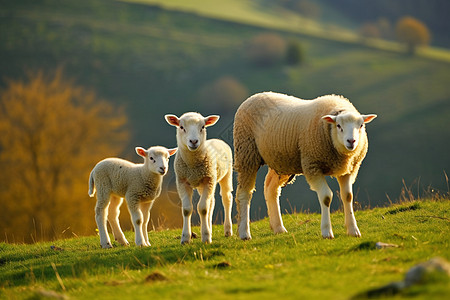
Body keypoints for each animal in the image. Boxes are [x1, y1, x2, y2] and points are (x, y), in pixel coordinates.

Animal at [166, 112, 236, 244]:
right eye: (181, 127)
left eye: (203, 127)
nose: (193, 141)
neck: (193, 164)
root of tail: (217, 140)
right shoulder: (182, 182)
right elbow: (187, 209)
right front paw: (185, 238)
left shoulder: (208, 180)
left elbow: (203, 208)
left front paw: (206, 237)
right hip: (204, 183)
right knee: (211, 203)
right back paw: (210, 228)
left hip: (225, 174)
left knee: (226, 198)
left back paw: (228, 230)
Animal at [232, 91, 376, 239]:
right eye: (338, 126)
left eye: (361, 126)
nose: (351, 141)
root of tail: (255, 96)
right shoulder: (312, 165)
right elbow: (326, 197)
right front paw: (326, 231)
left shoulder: (348, 169)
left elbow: (347, 196)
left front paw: (353, 230)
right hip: (246, 153)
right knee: (244, 193)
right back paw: (244, 233)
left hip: (281, 161)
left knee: (270, 188)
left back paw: (278, 228)